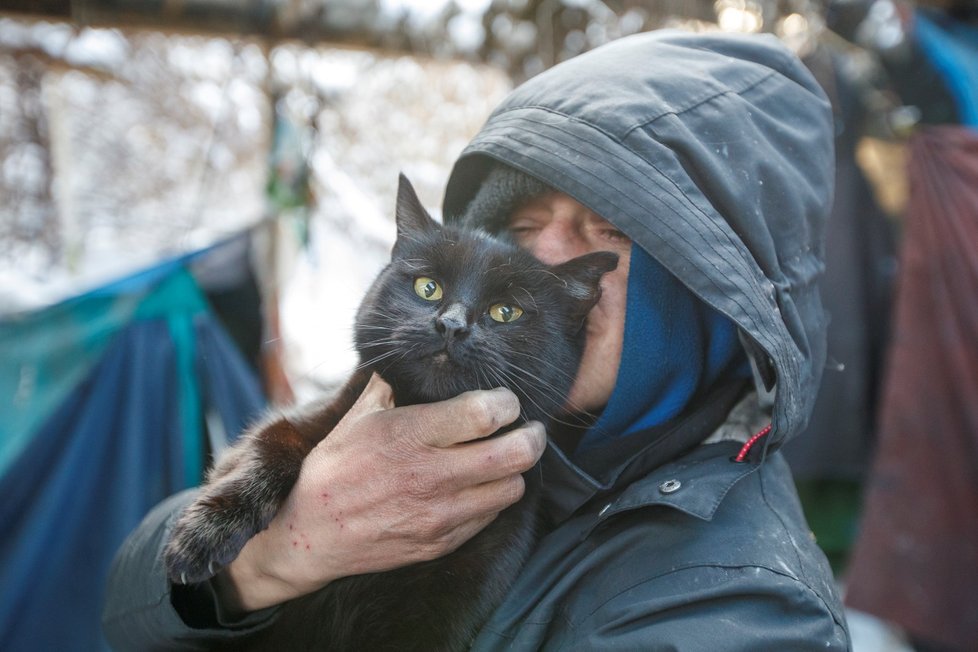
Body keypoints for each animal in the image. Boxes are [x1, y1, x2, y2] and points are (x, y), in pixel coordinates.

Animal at [163, 176, 612, 648]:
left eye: (506, 312)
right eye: (428, 288)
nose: (451, 325)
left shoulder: (450, 605)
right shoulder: (302, 420)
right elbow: (268, 447)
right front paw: (203, 535)